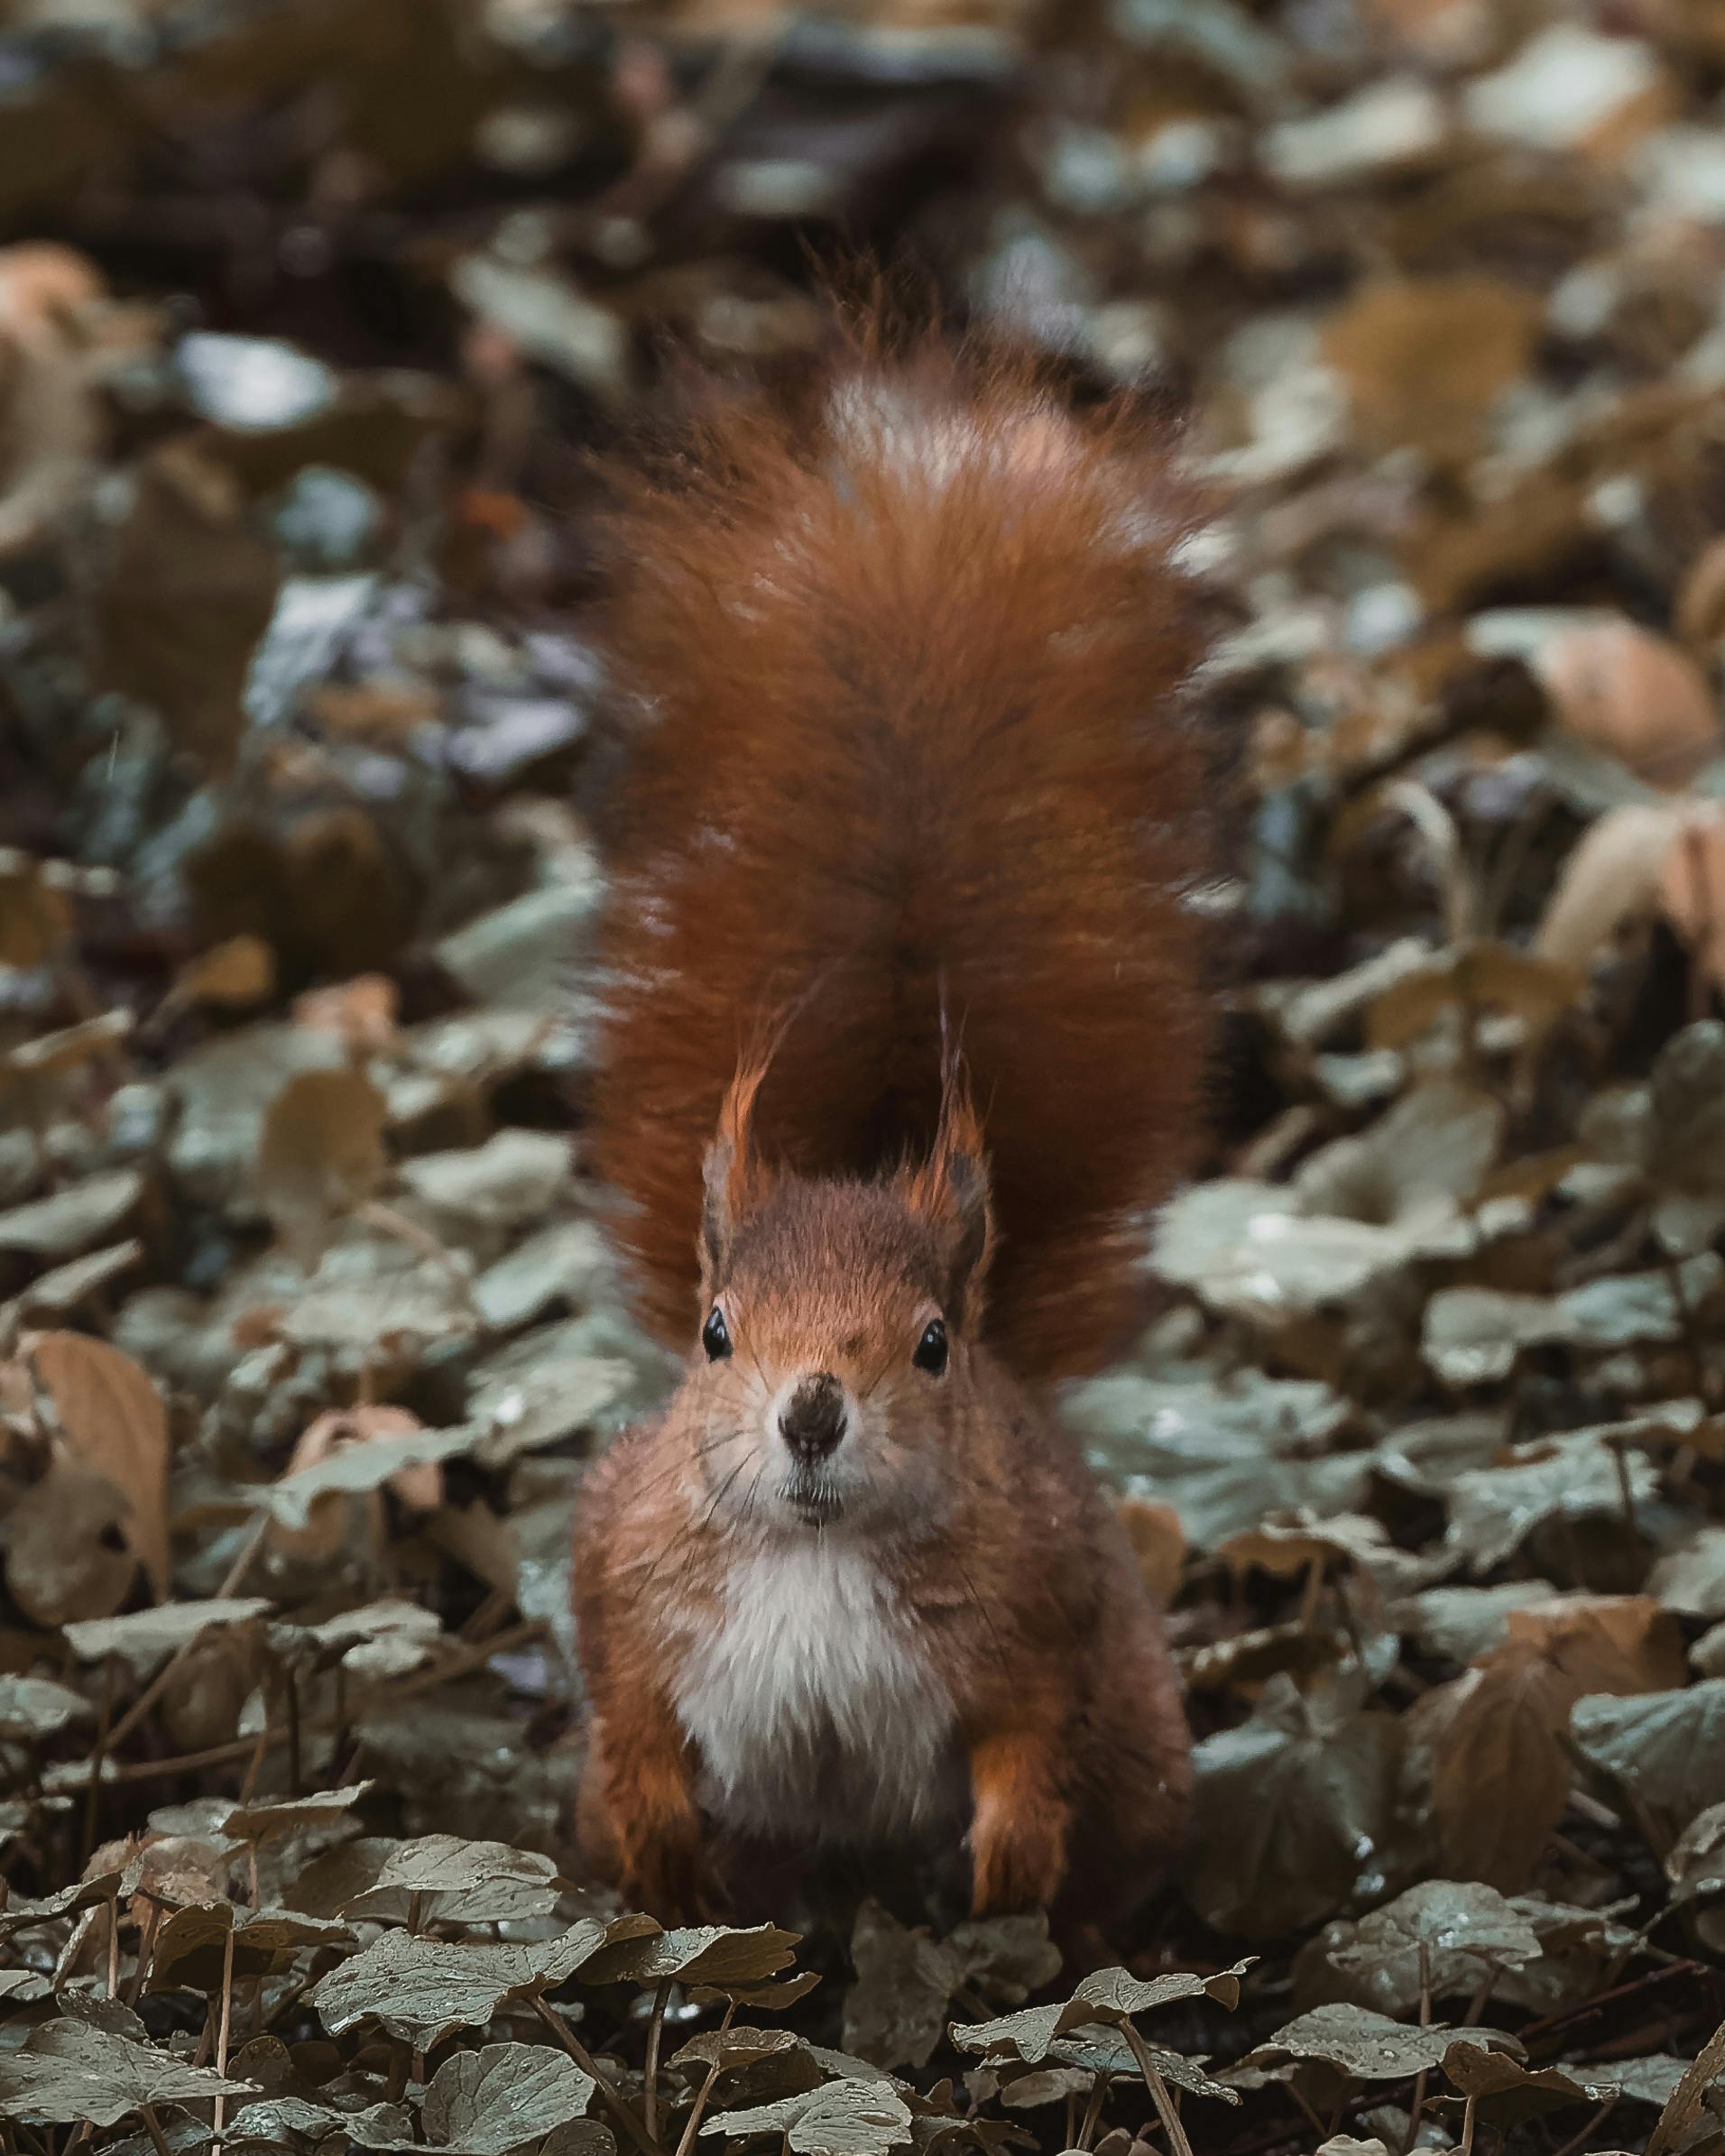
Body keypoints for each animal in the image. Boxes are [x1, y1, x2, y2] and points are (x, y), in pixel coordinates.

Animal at [568, 308, 1215, 1940]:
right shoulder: (616, 1581)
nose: (810, 1410)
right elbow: (630, 1717)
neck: (816, 1553)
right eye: (716, 1333)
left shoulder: (1045, 1616)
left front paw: (1005, 1859)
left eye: (930, 1345)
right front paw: (659, 1834)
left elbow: (1026, 1744)